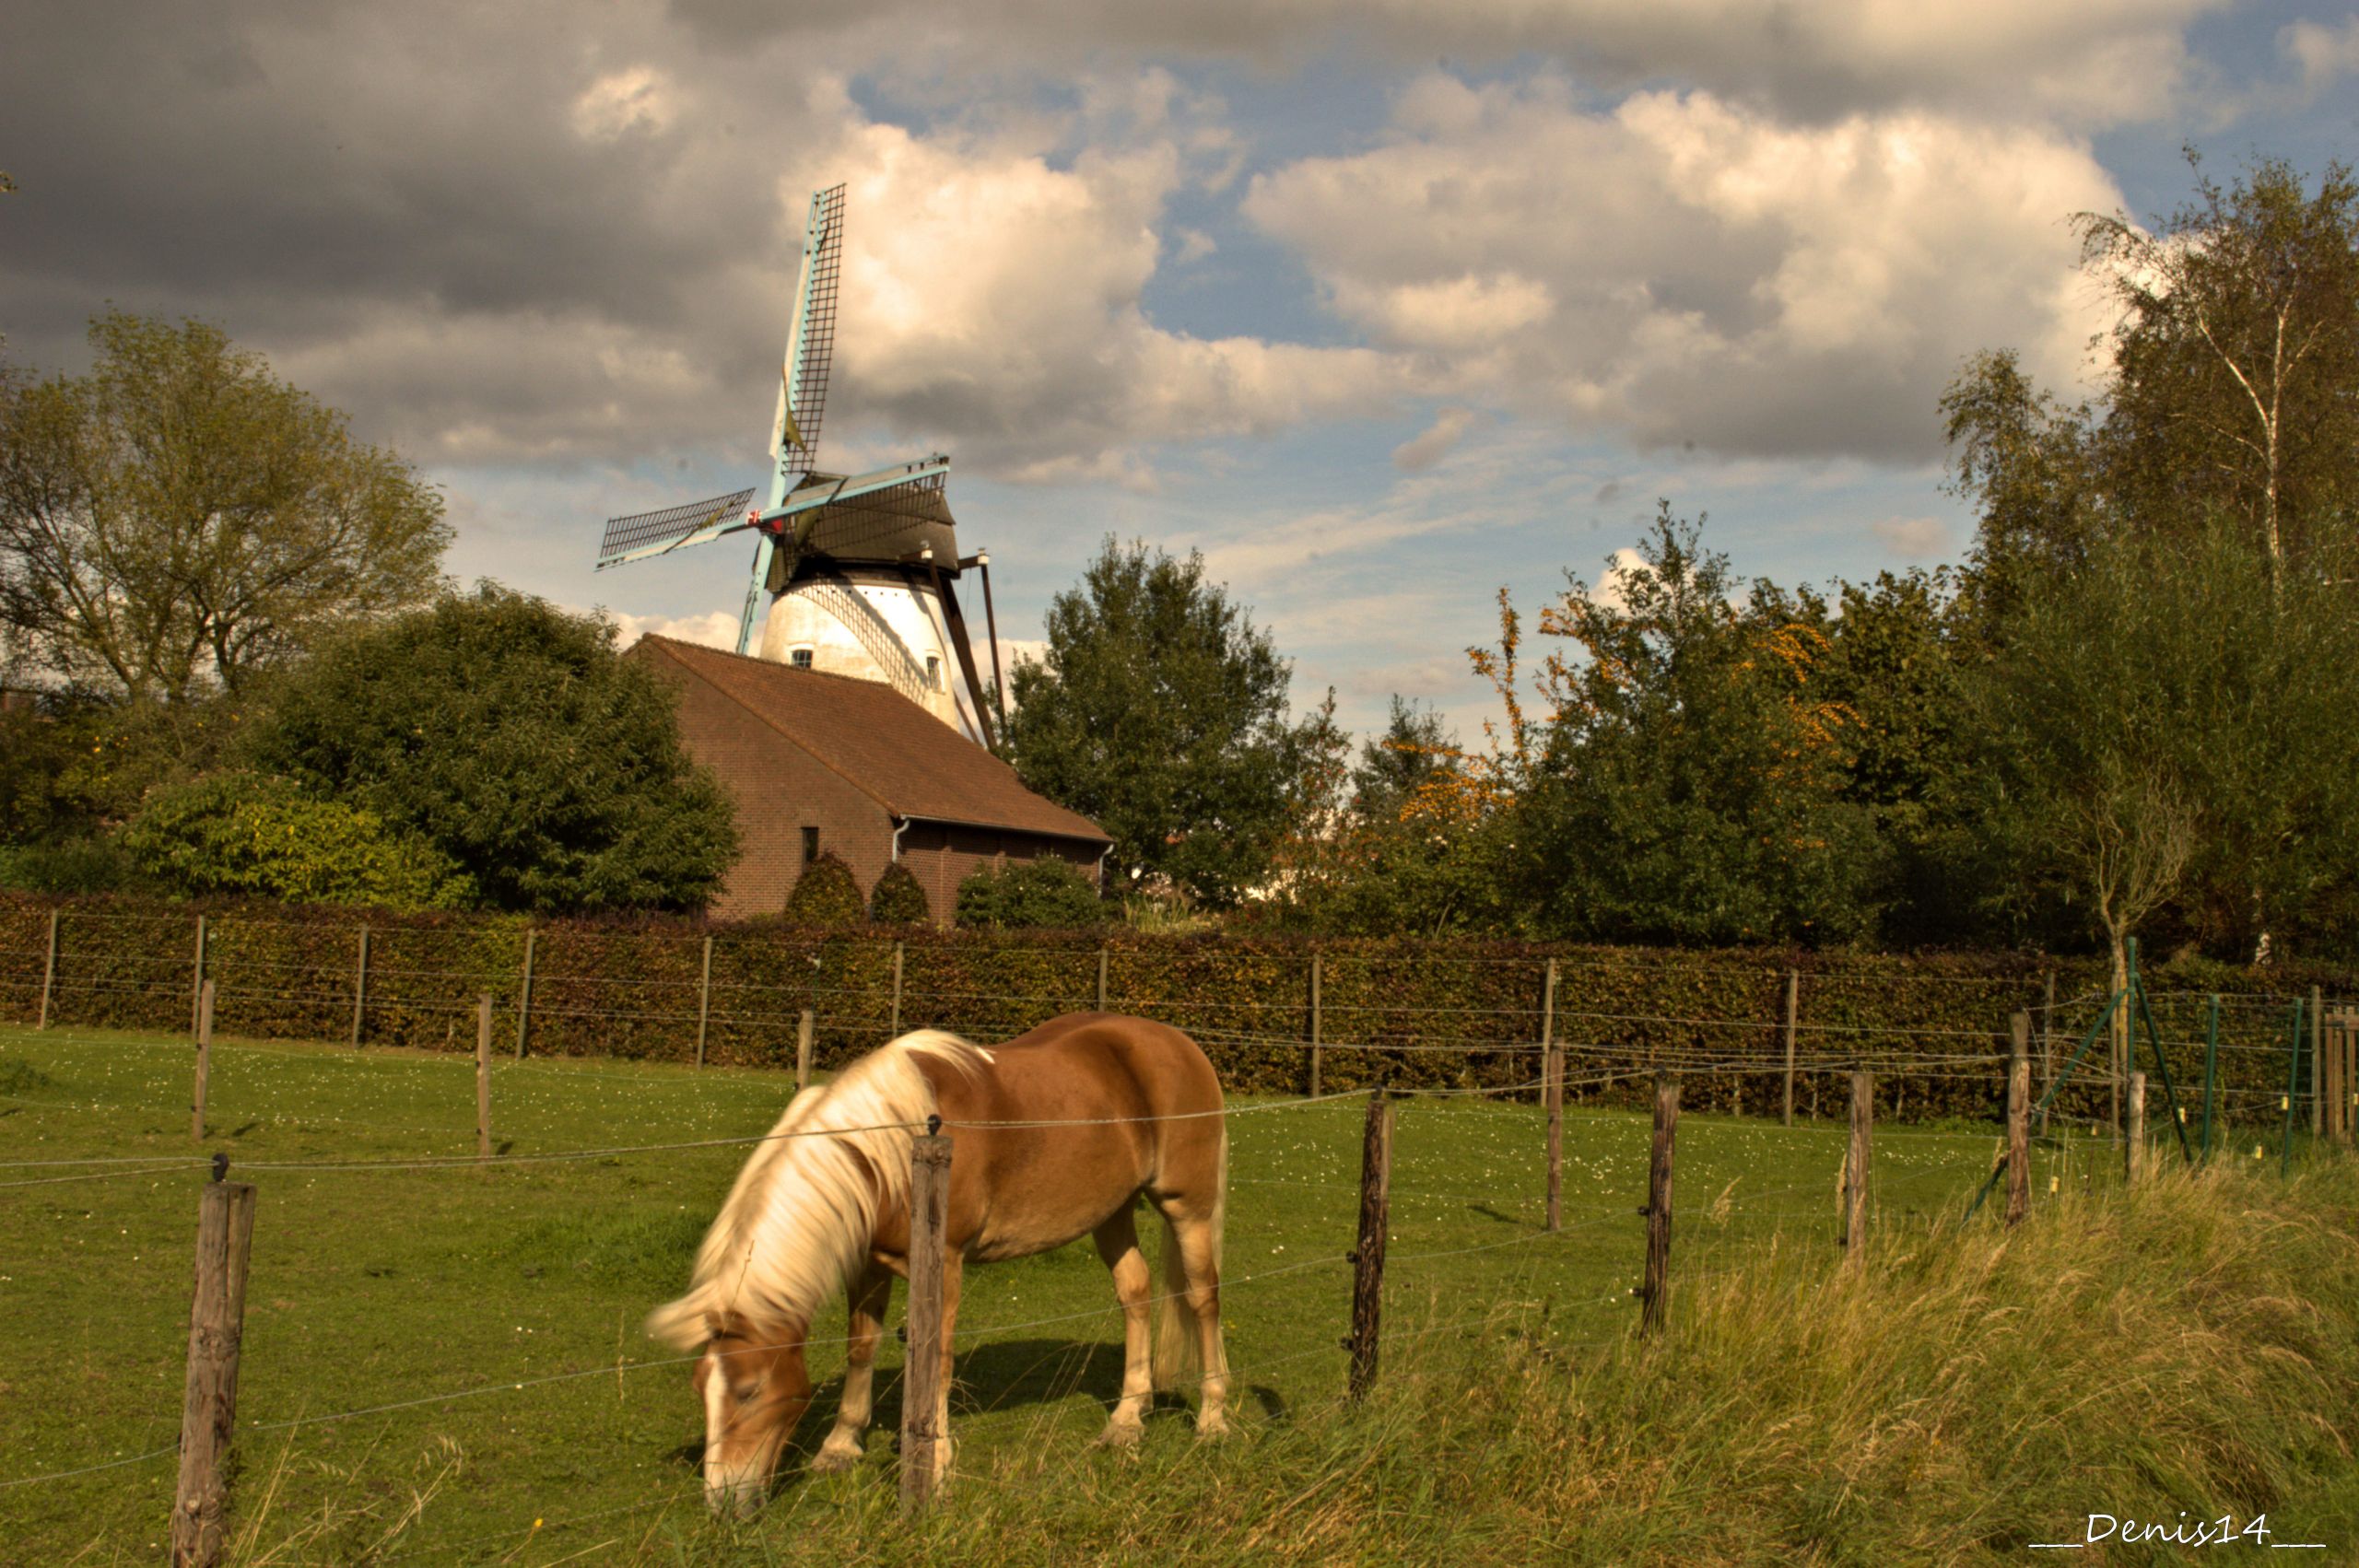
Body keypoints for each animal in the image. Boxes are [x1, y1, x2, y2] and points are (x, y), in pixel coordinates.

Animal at [646, 1009, 1236, 1509]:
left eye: (749, 1392)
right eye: (701, 1390)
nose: (722, 1500)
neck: (892, 1145)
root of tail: (1178, 1043)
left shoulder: (945, 1264)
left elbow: (939, 1360)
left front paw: (935, 1465)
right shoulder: (869, 1263)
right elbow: (861, 1346)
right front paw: (840, 1446)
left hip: (1187, 1208)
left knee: (1204, 1299)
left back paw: (1212, 1418)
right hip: (1111, 1213)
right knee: (1135, 1293)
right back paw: (1127, 1420)